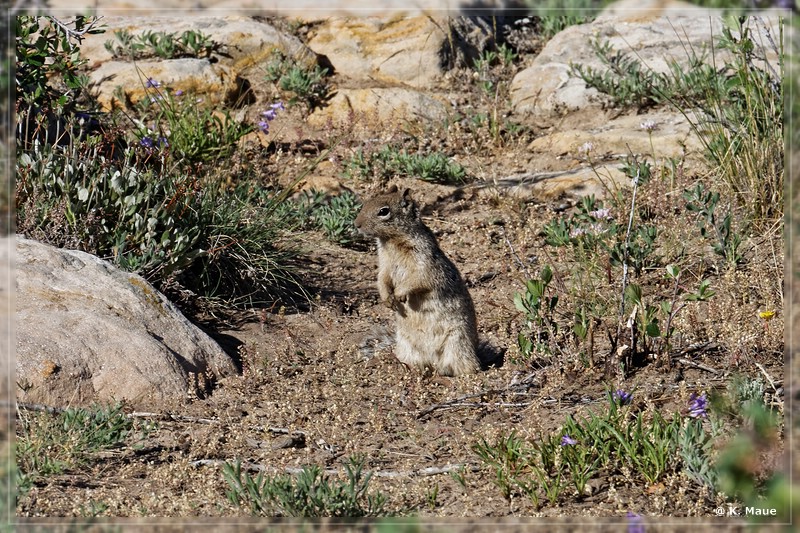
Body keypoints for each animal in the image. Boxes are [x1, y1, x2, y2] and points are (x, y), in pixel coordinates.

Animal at [356, 185, 482, 376]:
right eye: (366, 203)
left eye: (383, 211)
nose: (356, 224)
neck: (391, 241)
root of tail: (434, 360)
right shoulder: (384, 265)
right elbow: (381, 279)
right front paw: (387, 299)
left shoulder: (424, 263)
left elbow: (418, 280)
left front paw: (400, 294)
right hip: (407, 347)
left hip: (458, 344)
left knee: (464, 366)